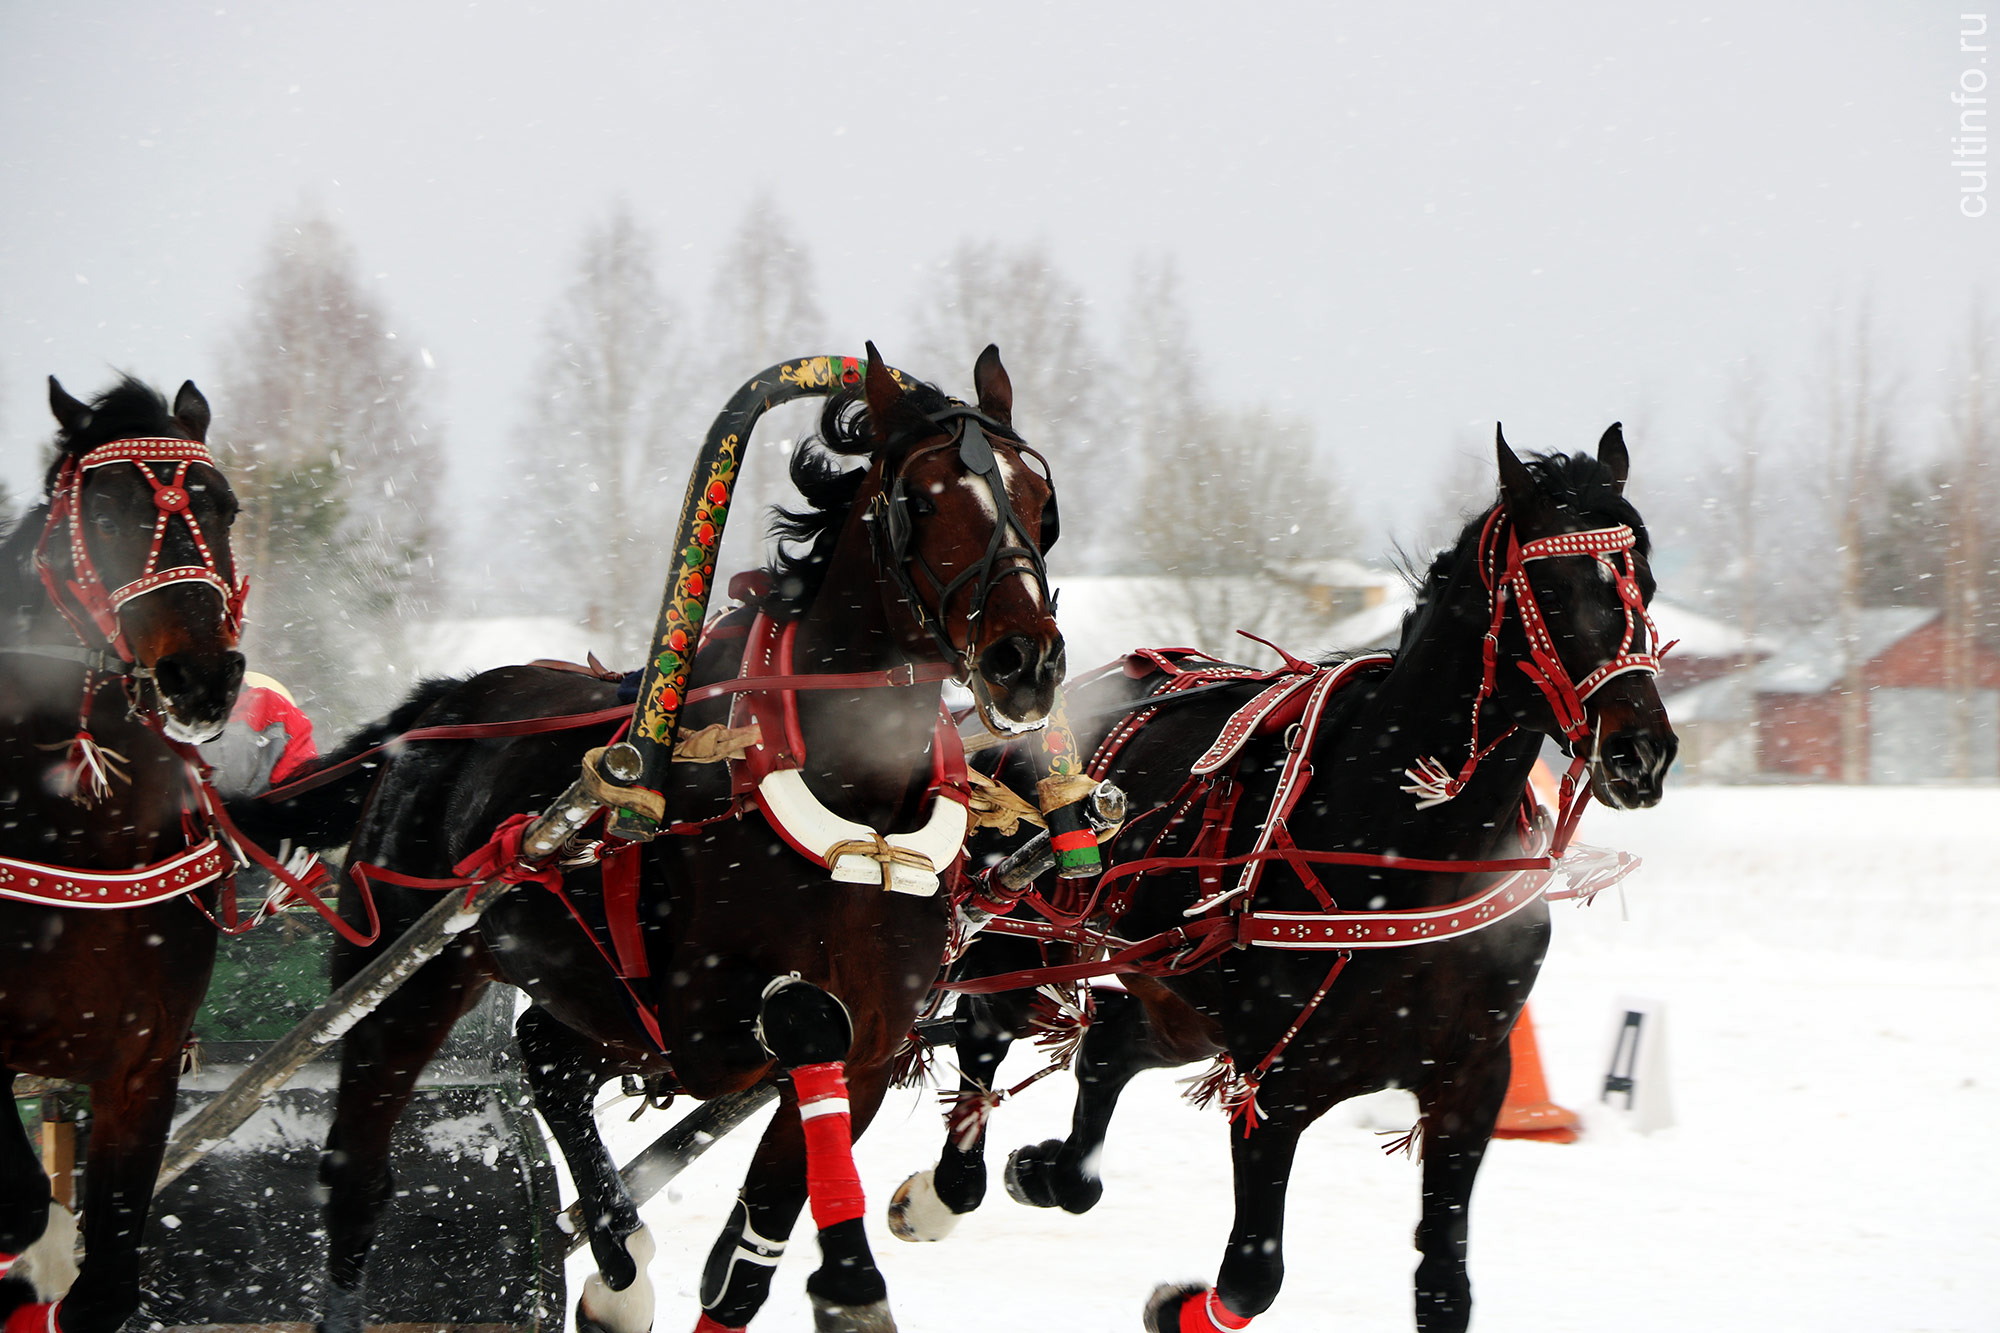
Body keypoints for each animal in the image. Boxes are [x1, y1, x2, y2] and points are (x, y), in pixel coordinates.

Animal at [0, 370, 248, 1328]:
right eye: (104, 516)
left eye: (222, 505)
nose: (201, 676)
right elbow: (28, 1214)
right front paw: (40, 1265)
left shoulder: (142, 1062)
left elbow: (106, 1277)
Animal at [256, 350, 1072, 1328]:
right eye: (924, 497)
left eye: (1040, 498)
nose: (1026, 661)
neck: (857, 807)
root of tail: (437, 709)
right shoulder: (707, 1016)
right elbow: (804, 1017)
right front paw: (850, 1278)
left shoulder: (870, 1047)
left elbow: (746, 1262)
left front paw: (823, 1272)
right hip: (406, 983)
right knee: (359, 1173)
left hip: (603, 1004)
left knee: (548, 1051)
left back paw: (619, 1261)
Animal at [900, 426, 1680, 1328]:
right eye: (1552, 590)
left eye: (1645, 583)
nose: (1642, 752)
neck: (1404, 844)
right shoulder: (1276, 1083)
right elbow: (1250, 1276)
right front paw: (1175, 1302)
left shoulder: (1471, 1081)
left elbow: (1443, 1291)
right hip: (1025, 939)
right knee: (985, 1035)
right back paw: (945, 1188)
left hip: (1179, 996)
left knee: (1106, 1045)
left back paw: (1052, 1169)